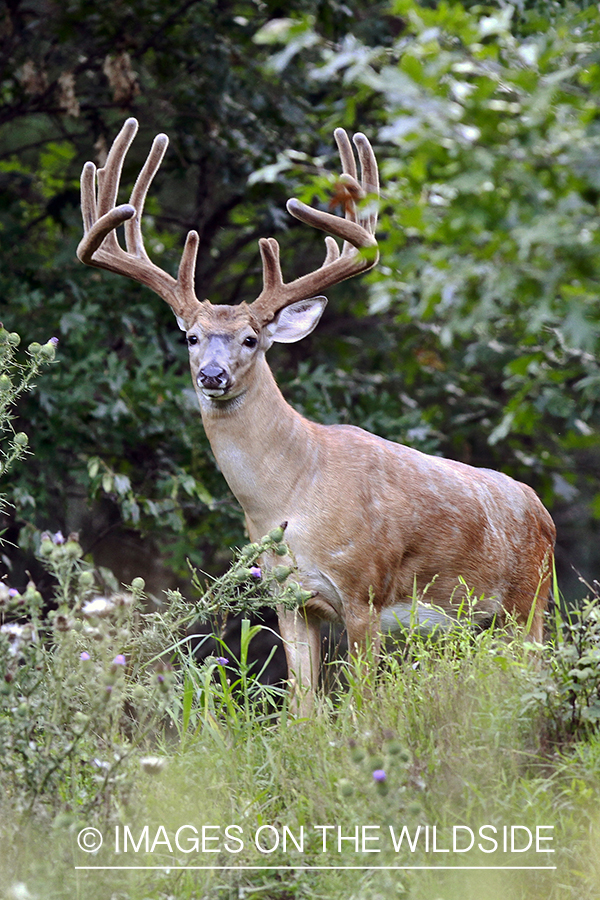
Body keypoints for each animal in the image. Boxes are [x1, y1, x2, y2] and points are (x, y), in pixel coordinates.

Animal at [77, 118, 556, 712]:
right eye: (191, 336)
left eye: (250, 339)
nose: (212, 375)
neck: (291, 496)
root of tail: (543, 513)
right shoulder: (288, 597)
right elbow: (303, 709)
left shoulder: (365, 590)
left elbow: (362, 703)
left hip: (529, 604)